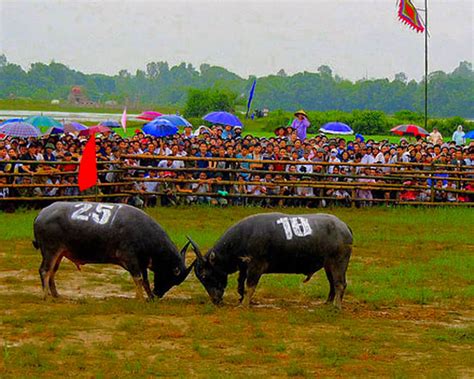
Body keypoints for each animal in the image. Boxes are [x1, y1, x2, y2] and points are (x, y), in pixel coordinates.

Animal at [33, 202, 193, 300]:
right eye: (171, 278)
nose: (158, 294)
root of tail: (42, 213)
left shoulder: (141, 262)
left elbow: (145, 280)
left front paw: (149, 297)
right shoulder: (131, 258)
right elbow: (138, 278)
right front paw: (140, 298)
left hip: (60, 253)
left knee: (53, 271)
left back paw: (56, 294)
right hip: (50, 250)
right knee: (44, 270)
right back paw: (45, 295)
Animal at [188, 212, 352, 310]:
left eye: (205, 275)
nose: (215, 300)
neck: (244, 236)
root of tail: (344, 226)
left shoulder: (256, 266)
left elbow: (250, 285)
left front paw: (244, 304)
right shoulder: (244, 266)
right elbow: (241, 284)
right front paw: (242, 299)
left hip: (338, 262)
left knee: (340, 283)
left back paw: (337, 306)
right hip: (328, 265)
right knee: (333, 283)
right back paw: (328, 302)